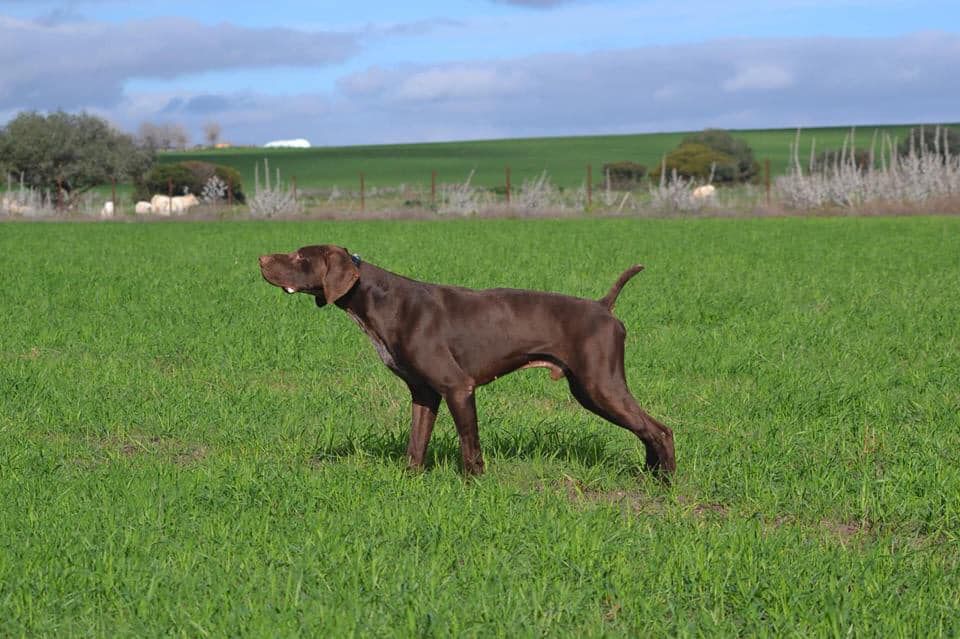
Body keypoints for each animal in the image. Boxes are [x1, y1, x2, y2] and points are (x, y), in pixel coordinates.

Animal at [256, 248, 676, 478]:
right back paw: (649, 476)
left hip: (598, 386)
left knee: (660, 430)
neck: (379, 298)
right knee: (647, 432)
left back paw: (667, 486)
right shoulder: (424, 394)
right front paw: (409, 481)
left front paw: (473, 487)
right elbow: (416, 445)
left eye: (300, 256)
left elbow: (470, 450)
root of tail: (604, 307)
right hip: (593, 389)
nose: (260, 259)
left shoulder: (458, 387)